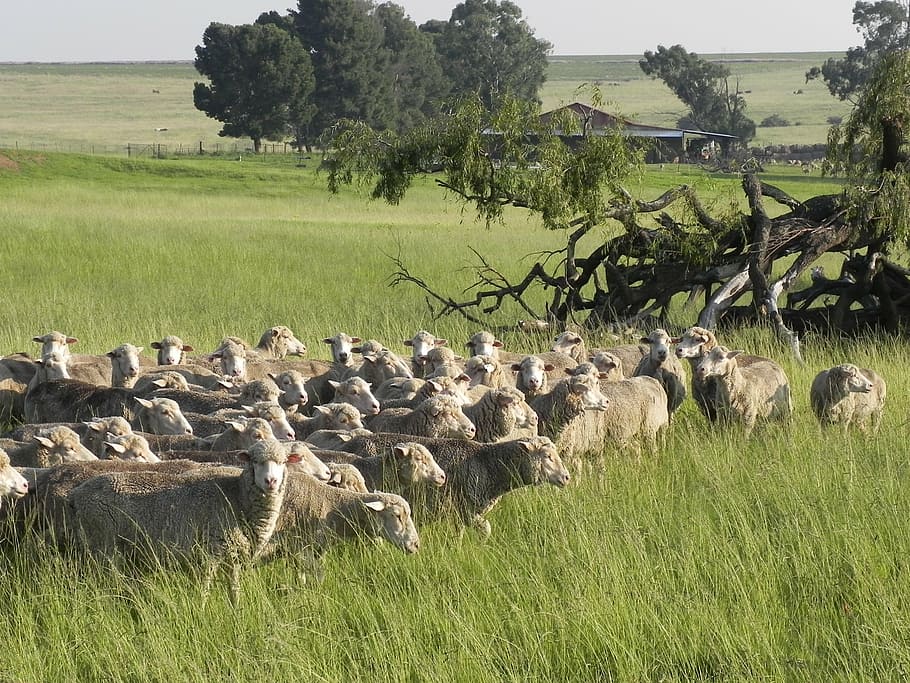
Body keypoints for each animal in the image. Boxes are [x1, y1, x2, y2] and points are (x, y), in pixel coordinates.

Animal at [68, 439, 301, 604]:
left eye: (282, 462)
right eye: (255, 461)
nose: (271, 481)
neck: (237, 495)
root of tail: (76, 494)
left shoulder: (232, 556)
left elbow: (234, 591)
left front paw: (236, 613)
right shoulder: (210, 551)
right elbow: (205, 588)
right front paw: (202, 611)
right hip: (102, 543)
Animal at [334, 434, 569, 536]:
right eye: (548, 456)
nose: (566, 477)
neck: (487, 463)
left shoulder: (460, 514)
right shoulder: (466, 510)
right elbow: (486, 529)